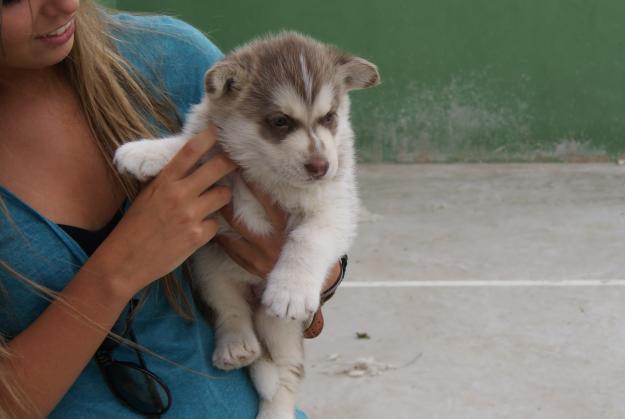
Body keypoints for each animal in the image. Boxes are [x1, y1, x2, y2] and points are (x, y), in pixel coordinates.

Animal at [114, 33, 378, 419]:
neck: (264, 171)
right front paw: (145, 152)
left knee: (285, 374)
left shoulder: (335, 208)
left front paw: (290, 288)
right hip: (208, 265)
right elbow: (187, 147)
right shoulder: (216, 157)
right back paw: (237, 346)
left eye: (329, 117)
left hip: (280, 327)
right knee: (230, 309)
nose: (321, 166)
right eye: (280, 121)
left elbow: (308, 239)